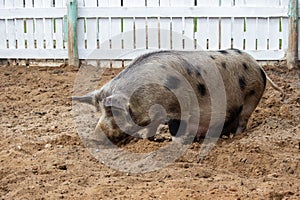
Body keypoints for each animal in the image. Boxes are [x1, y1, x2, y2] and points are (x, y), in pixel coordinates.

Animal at [72, 49, 284, 145]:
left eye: (112, 113)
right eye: (100, 112)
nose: (93, 138)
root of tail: (258, 65)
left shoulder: (176, 111)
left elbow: (176, 130)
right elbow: (151, 129)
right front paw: (151, 140)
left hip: (251, 98)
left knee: (243, 121)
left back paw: (235, 137)